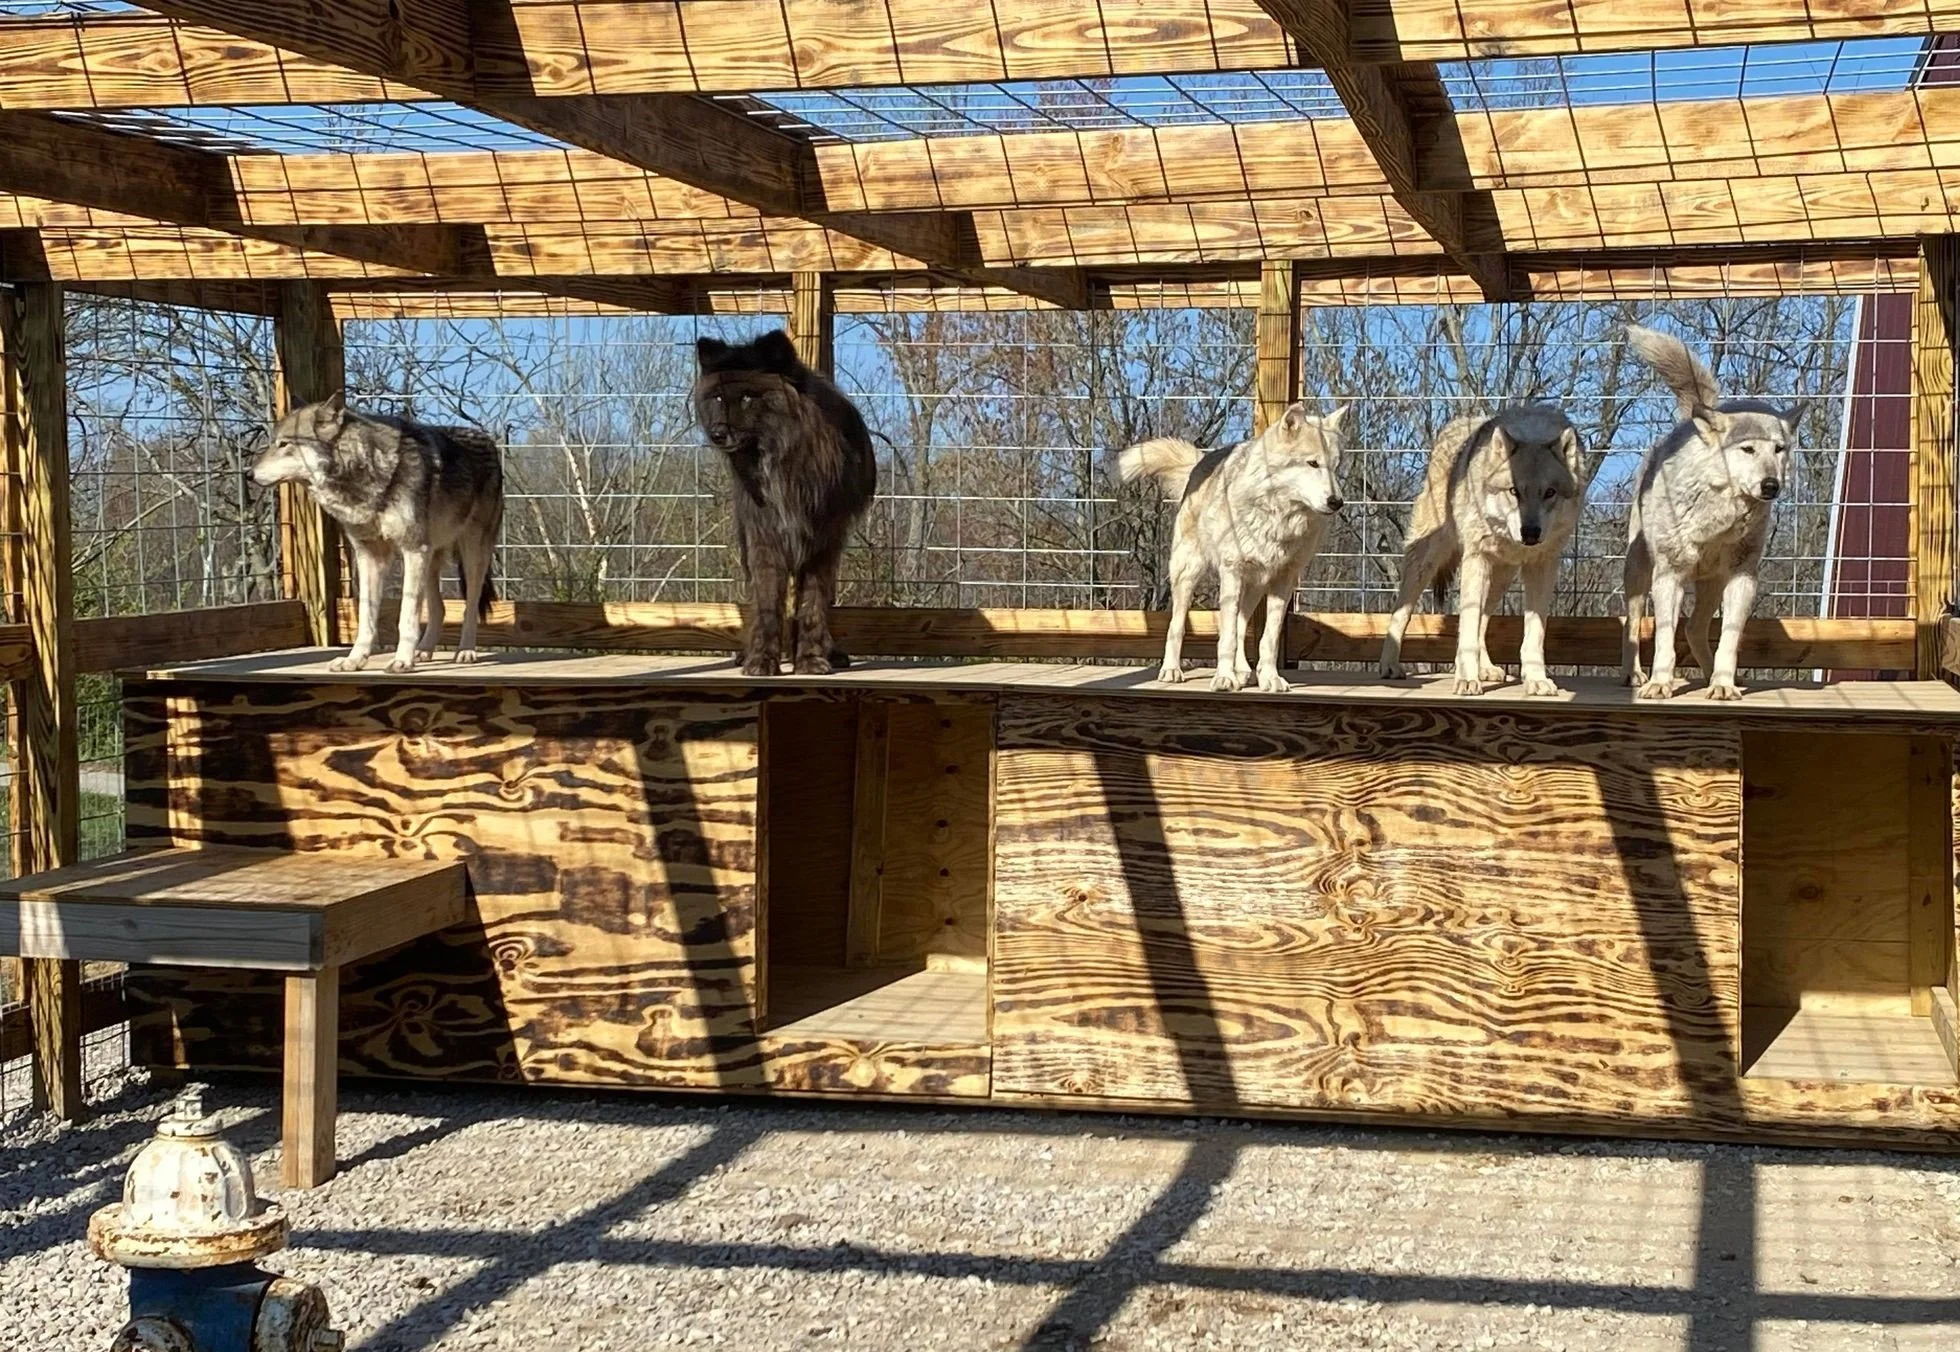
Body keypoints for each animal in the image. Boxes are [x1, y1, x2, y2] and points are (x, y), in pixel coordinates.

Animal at [251, 393, 502, 673]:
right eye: (273, 443)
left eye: (283, 444)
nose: (248, 474)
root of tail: (487, 439)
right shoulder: (371, 556)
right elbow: (366, 618)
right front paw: (354, 660)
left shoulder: (412, 550)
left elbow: (406, 616)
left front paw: (402, 660)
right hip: (430, 560)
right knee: (439, 609)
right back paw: (424, 651)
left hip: (471, 557)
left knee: (470, 606)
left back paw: (465, 651)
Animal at [694, 330, 877, 677]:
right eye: (718, 399)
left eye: (747, 398)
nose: (717, 434)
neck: (781, 454)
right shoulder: (764, 535)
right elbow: (766, 604)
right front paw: (762, 660)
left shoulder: (823, 538)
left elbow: (811, 605)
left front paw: (811, 660)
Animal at [1115, 402, 1348, 693]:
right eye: (1313, 463)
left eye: (1336, 467)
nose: (1337, 502)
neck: (1278, 517)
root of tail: (1202, 462)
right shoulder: (1232, 572)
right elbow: (1225, 637)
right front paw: (1223, 678)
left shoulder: (1284, 581)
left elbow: (1268, 639)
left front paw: (1270, 678)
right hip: (1188, 573)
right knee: (1177, 626)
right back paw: (1172, 670)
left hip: (1253, 588)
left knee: (1240, 626)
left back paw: (1243, 671)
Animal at [1378, 406, 1587, 696]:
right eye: (1513, 491)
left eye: (1550, 492)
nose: (1530, 533)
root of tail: (1454, 425)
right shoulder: (1475, 558)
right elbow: (1466, 628)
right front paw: (1467, 679)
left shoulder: (1542, 566)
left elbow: (1534, 633)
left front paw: (1536, 680)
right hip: (1427, 561)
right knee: (1402, 612)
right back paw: (1389, 666)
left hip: (1501, 577)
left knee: (1483, 621)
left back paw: (1486, 668)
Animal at [1621, 324, 1795, 701]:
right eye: (1748, 449)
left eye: (1779, 450)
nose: (1771, 485)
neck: (1720, 517)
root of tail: (1689, 421)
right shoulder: (1669, 576)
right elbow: (1663, 639)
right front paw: (1659, 683)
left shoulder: (1742, 579)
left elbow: (1729, 638)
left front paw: (1724, 684)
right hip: (1639, 570)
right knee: (1633, 622)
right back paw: (1634, 675)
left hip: (1712, 584)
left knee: (1694, 630)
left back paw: (1710, 675)